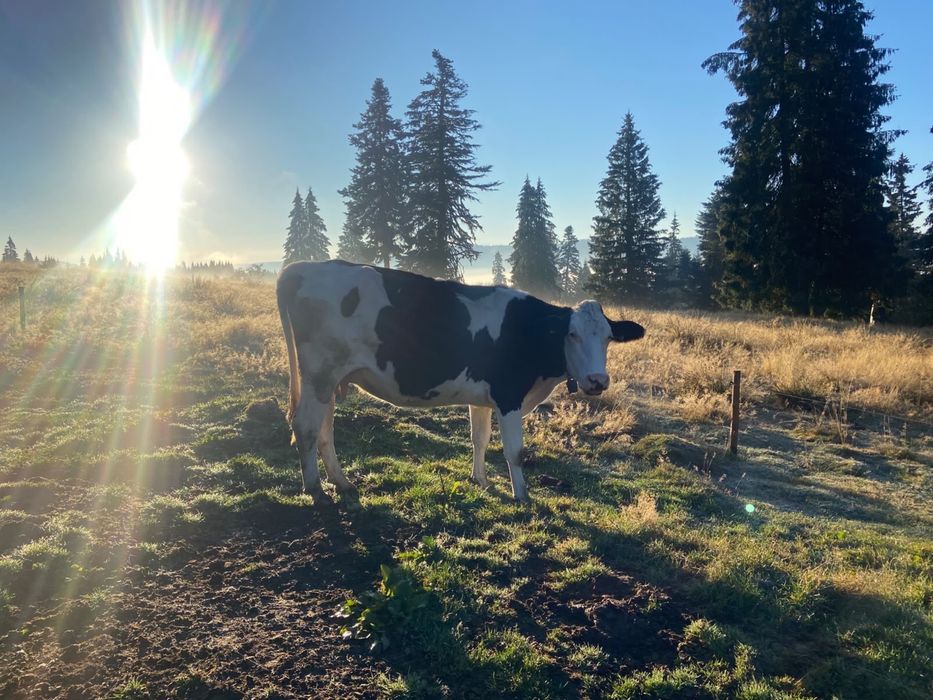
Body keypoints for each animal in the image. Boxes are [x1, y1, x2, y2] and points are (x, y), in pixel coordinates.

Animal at [276, 260, 645, 503]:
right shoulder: (508, 396)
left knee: (323, 429)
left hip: (327, 381)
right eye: (571, 334)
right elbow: (514, 451)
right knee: (306, 426)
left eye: (609, 338)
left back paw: (342, 482)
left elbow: (479, 439)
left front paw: (480, 480)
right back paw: (316, 489)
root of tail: (302, 266)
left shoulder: (482, 398)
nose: (597, 380)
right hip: (319, 373)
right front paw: (522, 496)